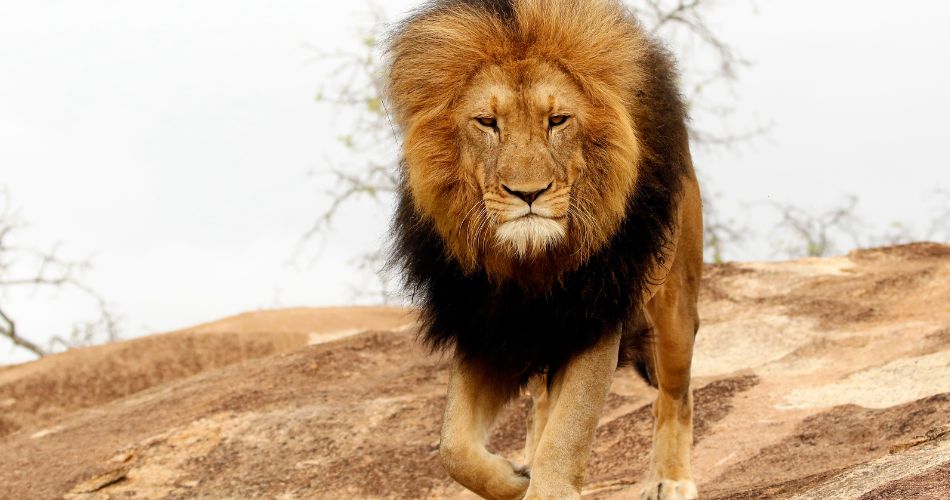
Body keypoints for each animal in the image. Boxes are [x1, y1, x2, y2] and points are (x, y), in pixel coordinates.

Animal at [385, 1, 703, 498]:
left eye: (558, 121)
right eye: (487, 122)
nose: (528, 193)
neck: (531, 263)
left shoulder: (595, 317)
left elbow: (569, 428)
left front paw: (547, 481)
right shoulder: (487, 326)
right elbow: (453, 448)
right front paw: (516, 480)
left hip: (673, 301)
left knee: (674, 393)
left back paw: (669, 479)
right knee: (539, 407)